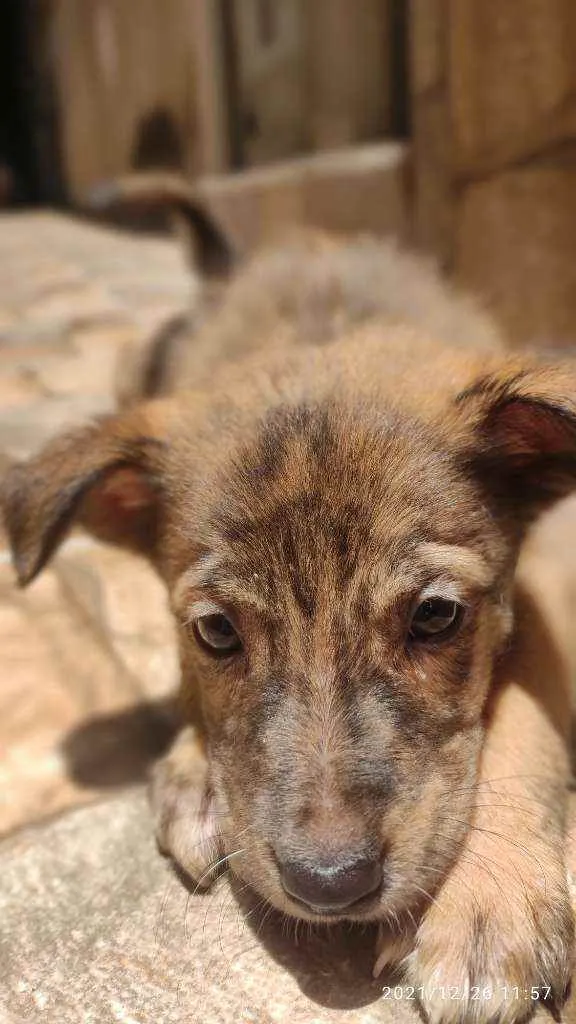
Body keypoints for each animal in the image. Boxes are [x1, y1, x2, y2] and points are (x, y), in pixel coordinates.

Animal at [2, 180, 569, 1019]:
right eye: (216, 632)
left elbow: (527, 708)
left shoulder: (541, 590)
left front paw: (487, 898)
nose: (330, 887)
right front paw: (194, 773)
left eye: (436, 616)